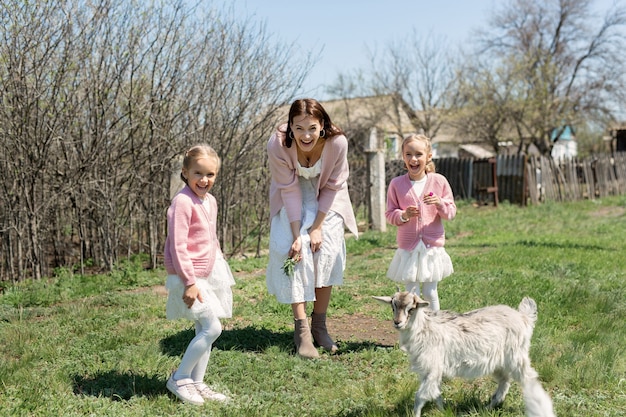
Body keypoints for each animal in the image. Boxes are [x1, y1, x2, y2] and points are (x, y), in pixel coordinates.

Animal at [372, 290, 552, 416]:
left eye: (411, 309)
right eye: (393, 307)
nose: (397, 322)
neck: (424, 329)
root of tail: (523, 317)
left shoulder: (432, 367)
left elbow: (421, 396)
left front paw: (416, 414)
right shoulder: (430, 371)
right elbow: (435, 393)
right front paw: (443, 410)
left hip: (517, 356)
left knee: (529, 379)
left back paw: (540, 409)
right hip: (499, 362)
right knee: (504, 381)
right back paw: (488, 406)